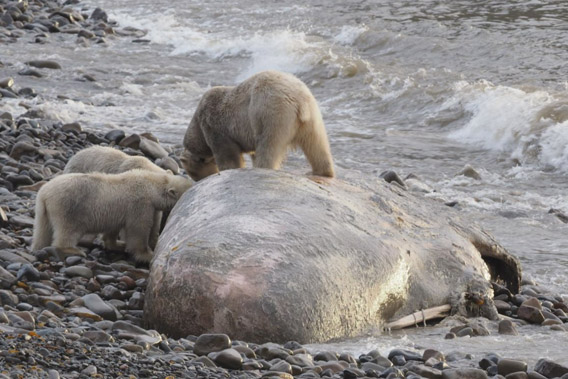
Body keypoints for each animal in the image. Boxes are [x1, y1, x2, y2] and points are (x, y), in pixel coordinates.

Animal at [32, 171, 192, 262]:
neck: (151, 186)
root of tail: (44, 193)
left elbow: (113, 229)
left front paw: (117, 245)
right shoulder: (141, 204)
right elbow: (138, 230)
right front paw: (147, 254)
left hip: (43, 211)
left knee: (43, 230)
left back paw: (39, 247)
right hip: (69, 207)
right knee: (68, 230)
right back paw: (73, 250)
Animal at [180, 70, 336, 182]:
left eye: (192, 172)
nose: (198, 181)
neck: (198, 125)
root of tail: (299, 101)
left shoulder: (216, 127)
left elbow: (228, 156)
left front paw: (229, 169)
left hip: (269, 113)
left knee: (268, 145)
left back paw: (264, 167)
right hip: (312, 116)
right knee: (317, 143)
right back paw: (322, 171)